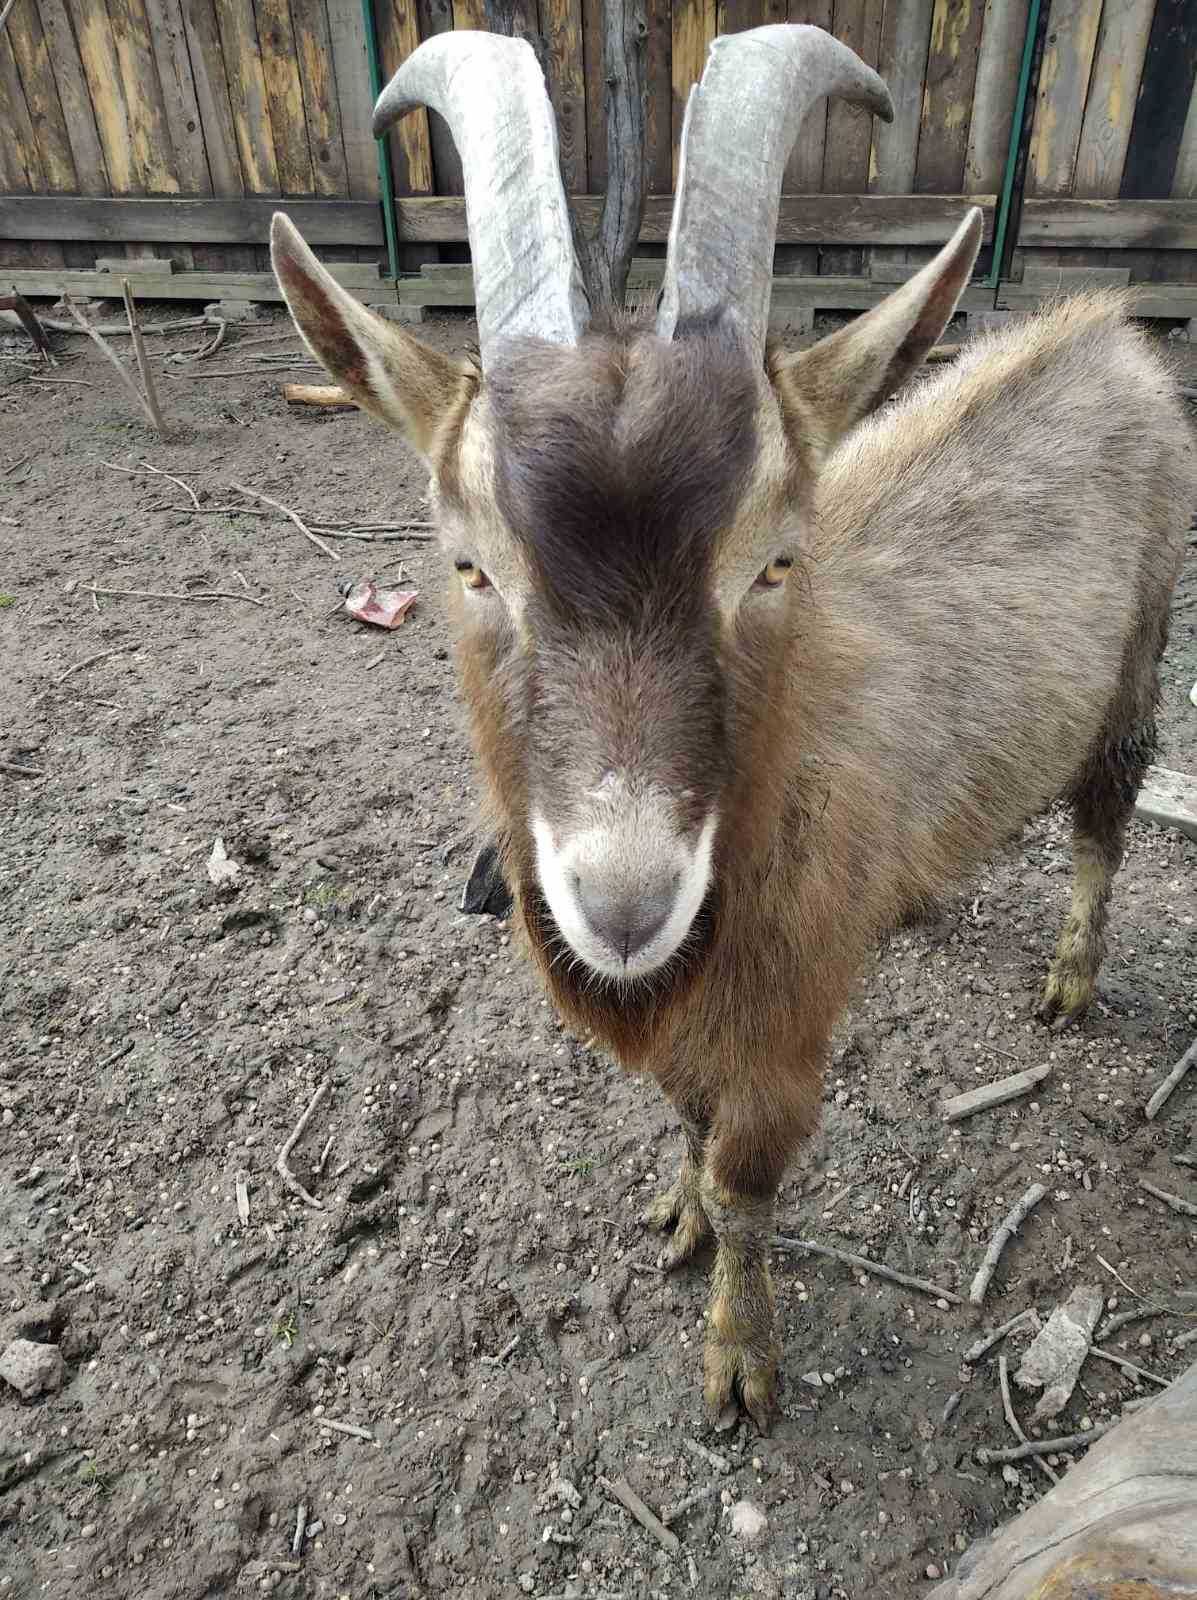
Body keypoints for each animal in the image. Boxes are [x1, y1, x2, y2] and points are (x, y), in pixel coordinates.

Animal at [270, 28, 1197, 1427]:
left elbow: (748, 1169)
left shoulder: (788, 1021)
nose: (624, 901)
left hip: (1144, 648)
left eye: (774, 562)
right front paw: (675, 1213)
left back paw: (1073, 980)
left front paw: (740, 1358)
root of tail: (1110, 335)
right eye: (471, 565)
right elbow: (687, 1125)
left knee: (1106, 810)